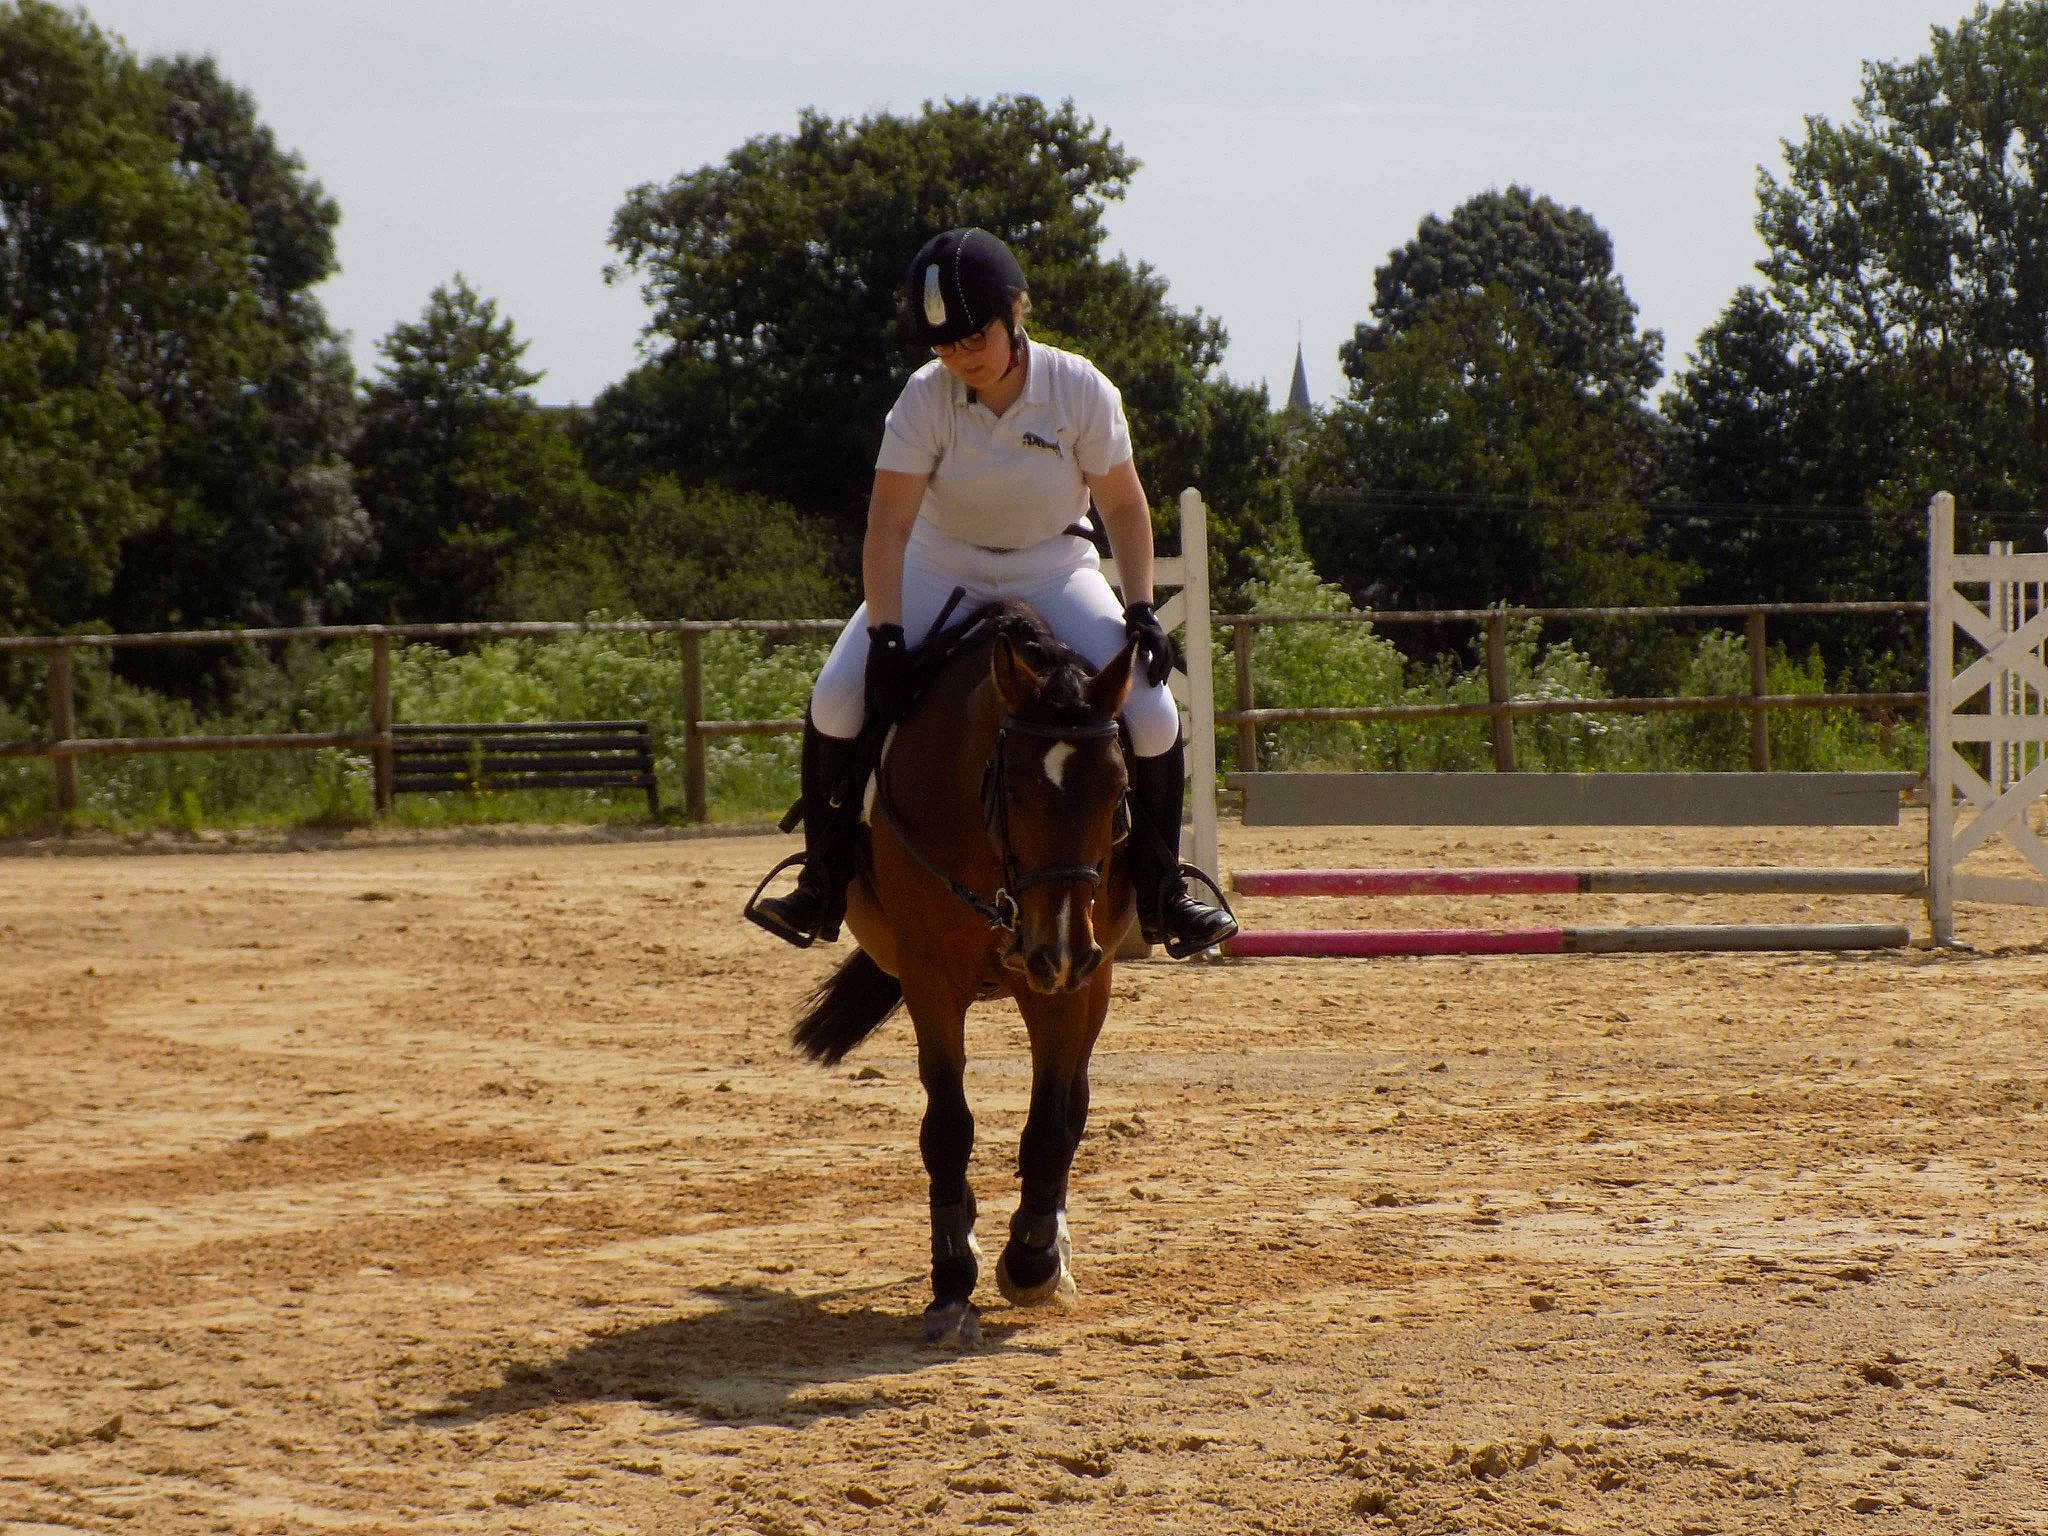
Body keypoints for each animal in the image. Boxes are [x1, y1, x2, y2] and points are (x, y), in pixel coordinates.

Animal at [785, 601, 1138, 1348]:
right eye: (1015, 789)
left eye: (1120, 790)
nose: (1060, 947)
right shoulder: (930, 975)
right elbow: (948, 1124)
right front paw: (952, 1280)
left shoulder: (1067, 983)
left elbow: (1051, 1121)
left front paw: (1032, 1260)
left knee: (1076, 1104)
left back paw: (1053, 1251)